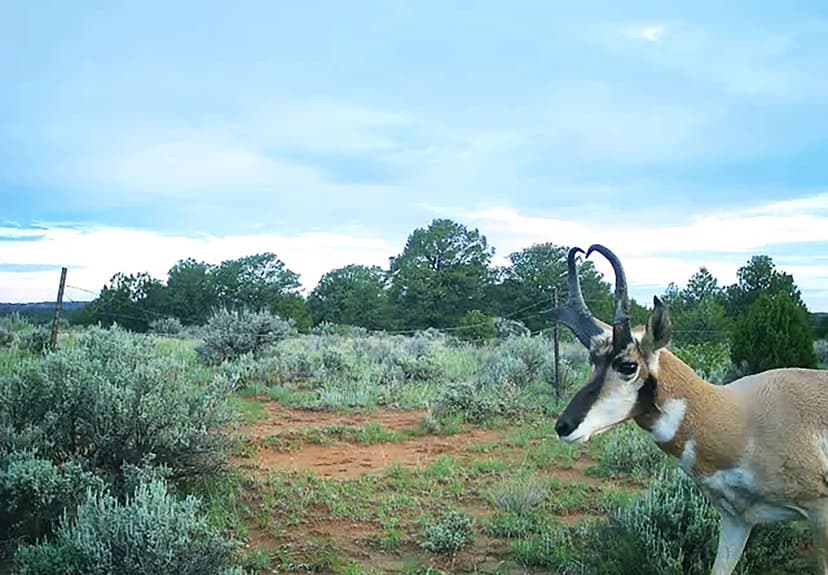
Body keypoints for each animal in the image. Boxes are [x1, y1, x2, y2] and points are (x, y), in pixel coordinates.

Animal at [549, 244, 828, 575]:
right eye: (593, 361)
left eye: (627, 365)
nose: (563, 426)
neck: (742, 419)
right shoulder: (736, 521)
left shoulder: (820, 514)